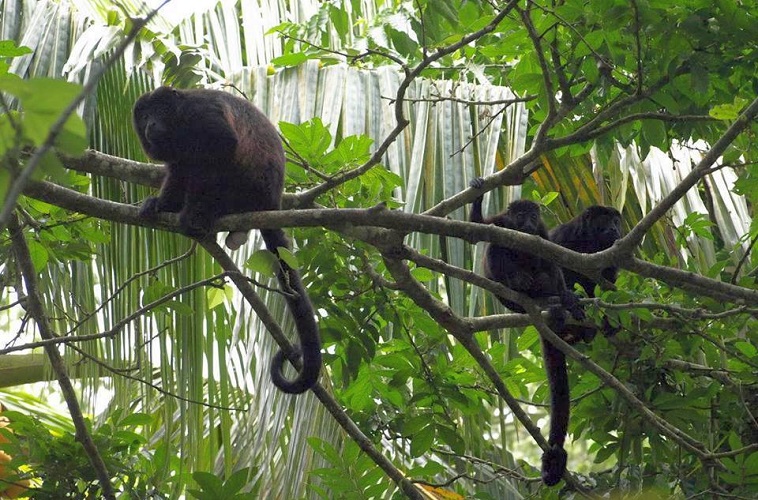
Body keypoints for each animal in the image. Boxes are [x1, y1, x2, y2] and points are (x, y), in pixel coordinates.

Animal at [470, 179, 588, 484]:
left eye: (534, 215)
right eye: (520, 215)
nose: (528, 221)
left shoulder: (543, 231)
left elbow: (551, 257)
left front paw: (568, 296)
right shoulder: (500, 221)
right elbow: (478, 228)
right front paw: (477, 194)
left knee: (544, 267)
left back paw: (554, 297)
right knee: (496, 249)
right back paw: (518, 284)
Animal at [552, 204, 624, 344]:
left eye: (616, 222)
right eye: (604, 220)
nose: (614, 229)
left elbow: (608, 283)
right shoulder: (563, 236)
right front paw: (572, 303)